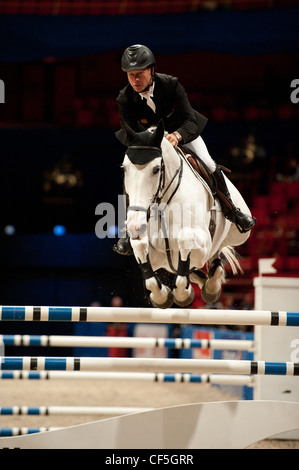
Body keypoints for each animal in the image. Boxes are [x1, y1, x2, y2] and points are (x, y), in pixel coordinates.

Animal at [120, 120, 254, 308]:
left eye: (156, 169)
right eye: (125, 169)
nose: (134, 225)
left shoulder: (201, 242)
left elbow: (186, 240)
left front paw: (183, 294)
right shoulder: (153, 253)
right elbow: (140, 248)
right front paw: (162, 297)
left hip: (239, 234)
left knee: (218, 249)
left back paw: (211, 285)